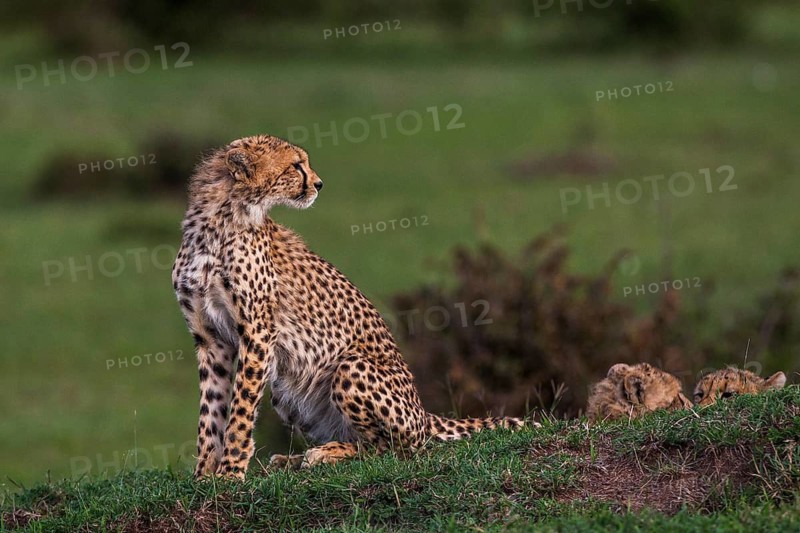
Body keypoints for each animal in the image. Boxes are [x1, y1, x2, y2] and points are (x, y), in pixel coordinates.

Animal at [171, 134, 525, 479]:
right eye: (296, 165)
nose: (318, 184)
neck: (221, 220)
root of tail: (424, 414)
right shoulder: (211, 339)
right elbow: (212, 409)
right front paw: (205, 475)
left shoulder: (258, 332)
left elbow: (240, 409)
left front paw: (230, 472)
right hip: (284, 389)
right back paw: (293, 460)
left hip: (350, 368)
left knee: (390, 450)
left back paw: (324, 454)